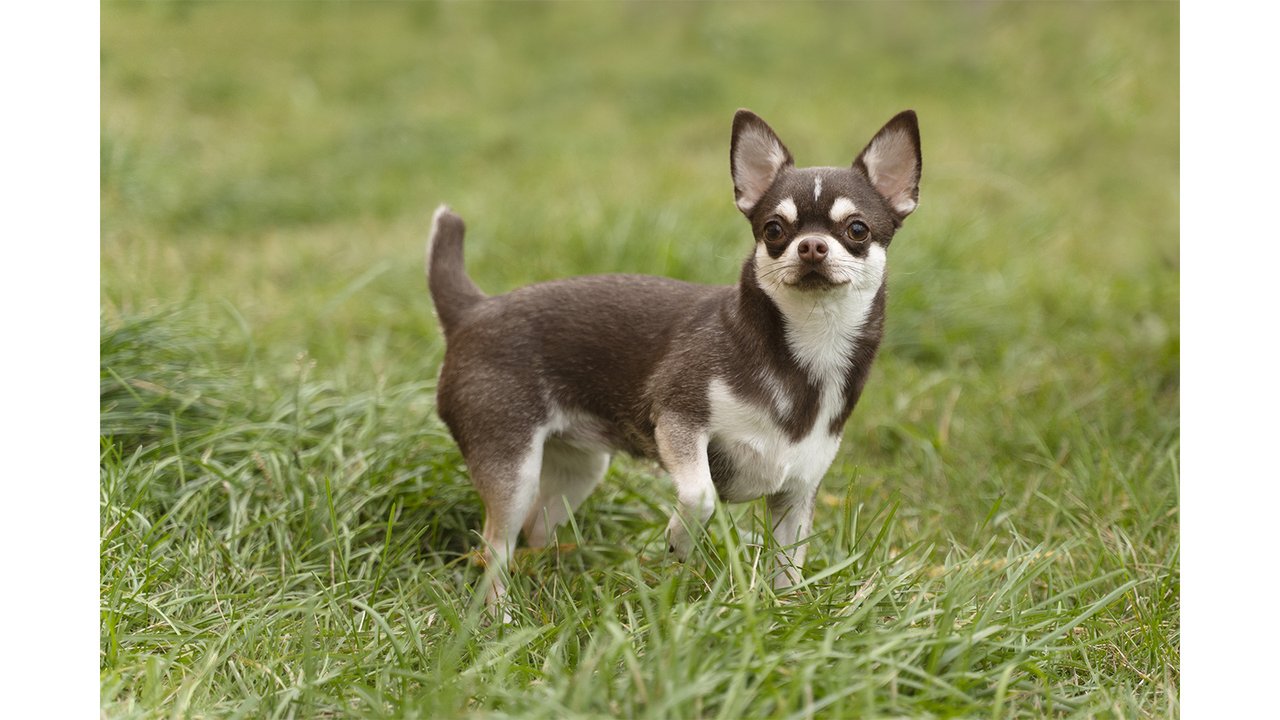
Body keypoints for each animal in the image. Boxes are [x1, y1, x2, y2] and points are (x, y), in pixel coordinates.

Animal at [430, 109, 921, 602]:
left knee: (533, 530)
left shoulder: (795, 498)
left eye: (857, 229)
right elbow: (700, 494)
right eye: (774, 230)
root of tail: (472, 310)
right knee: (494, 546)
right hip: (513, 468)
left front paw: (786, 611)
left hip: (579, 469)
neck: (806, 351)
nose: (812, 245)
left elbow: (788, 571)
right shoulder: (678, 419)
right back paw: (500, 613)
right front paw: (680, 542)